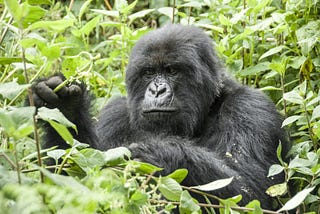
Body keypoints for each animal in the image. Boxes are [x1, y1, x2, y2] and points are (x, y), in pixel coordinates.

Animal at [31, 23, 288, 209]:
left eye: (171, 70)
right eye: (148, 73)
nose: (157, 90)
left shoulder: (250, 109)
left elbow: (253, 194)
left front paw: (161, 153)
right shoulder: (115, 114)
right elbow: (73, 175)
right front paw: (65, 107)